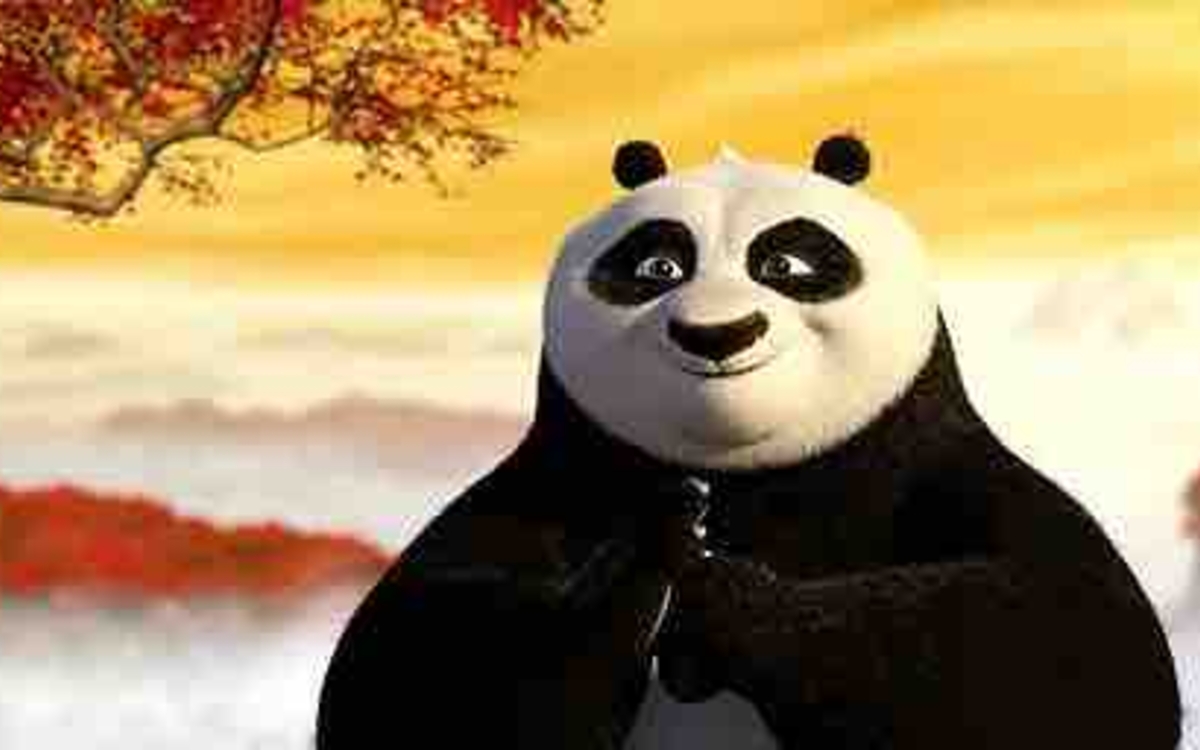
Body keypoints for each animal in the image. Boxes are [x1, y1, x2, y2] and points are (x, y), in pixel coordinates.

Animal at [316, 135, 1181, 750]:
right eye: (657, 265)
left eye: (787, 262)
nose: (718, 334)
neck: (740, 471)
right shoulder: (558, 476)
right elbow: (413, 658)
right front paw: (647, 557)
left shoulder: (929, 457)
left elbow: (1070, 639)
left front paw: (723, 596)